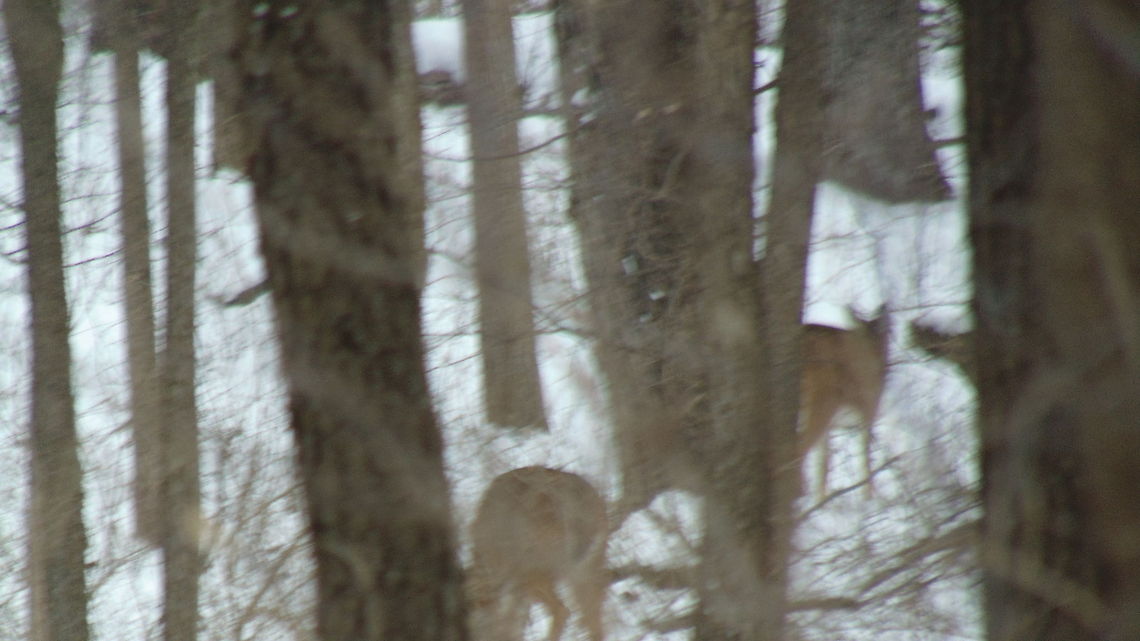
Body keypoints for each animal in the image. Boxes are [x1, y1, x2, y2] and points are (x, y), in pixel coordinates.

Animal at [798, 306, 890, 499]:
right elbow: (865, 459)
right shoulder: (868, 413)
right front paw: (868, 498)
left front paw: (821, 500)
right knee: (798, 449)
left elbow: (823, 465)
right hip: (823, 404)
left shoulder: (832, 427)